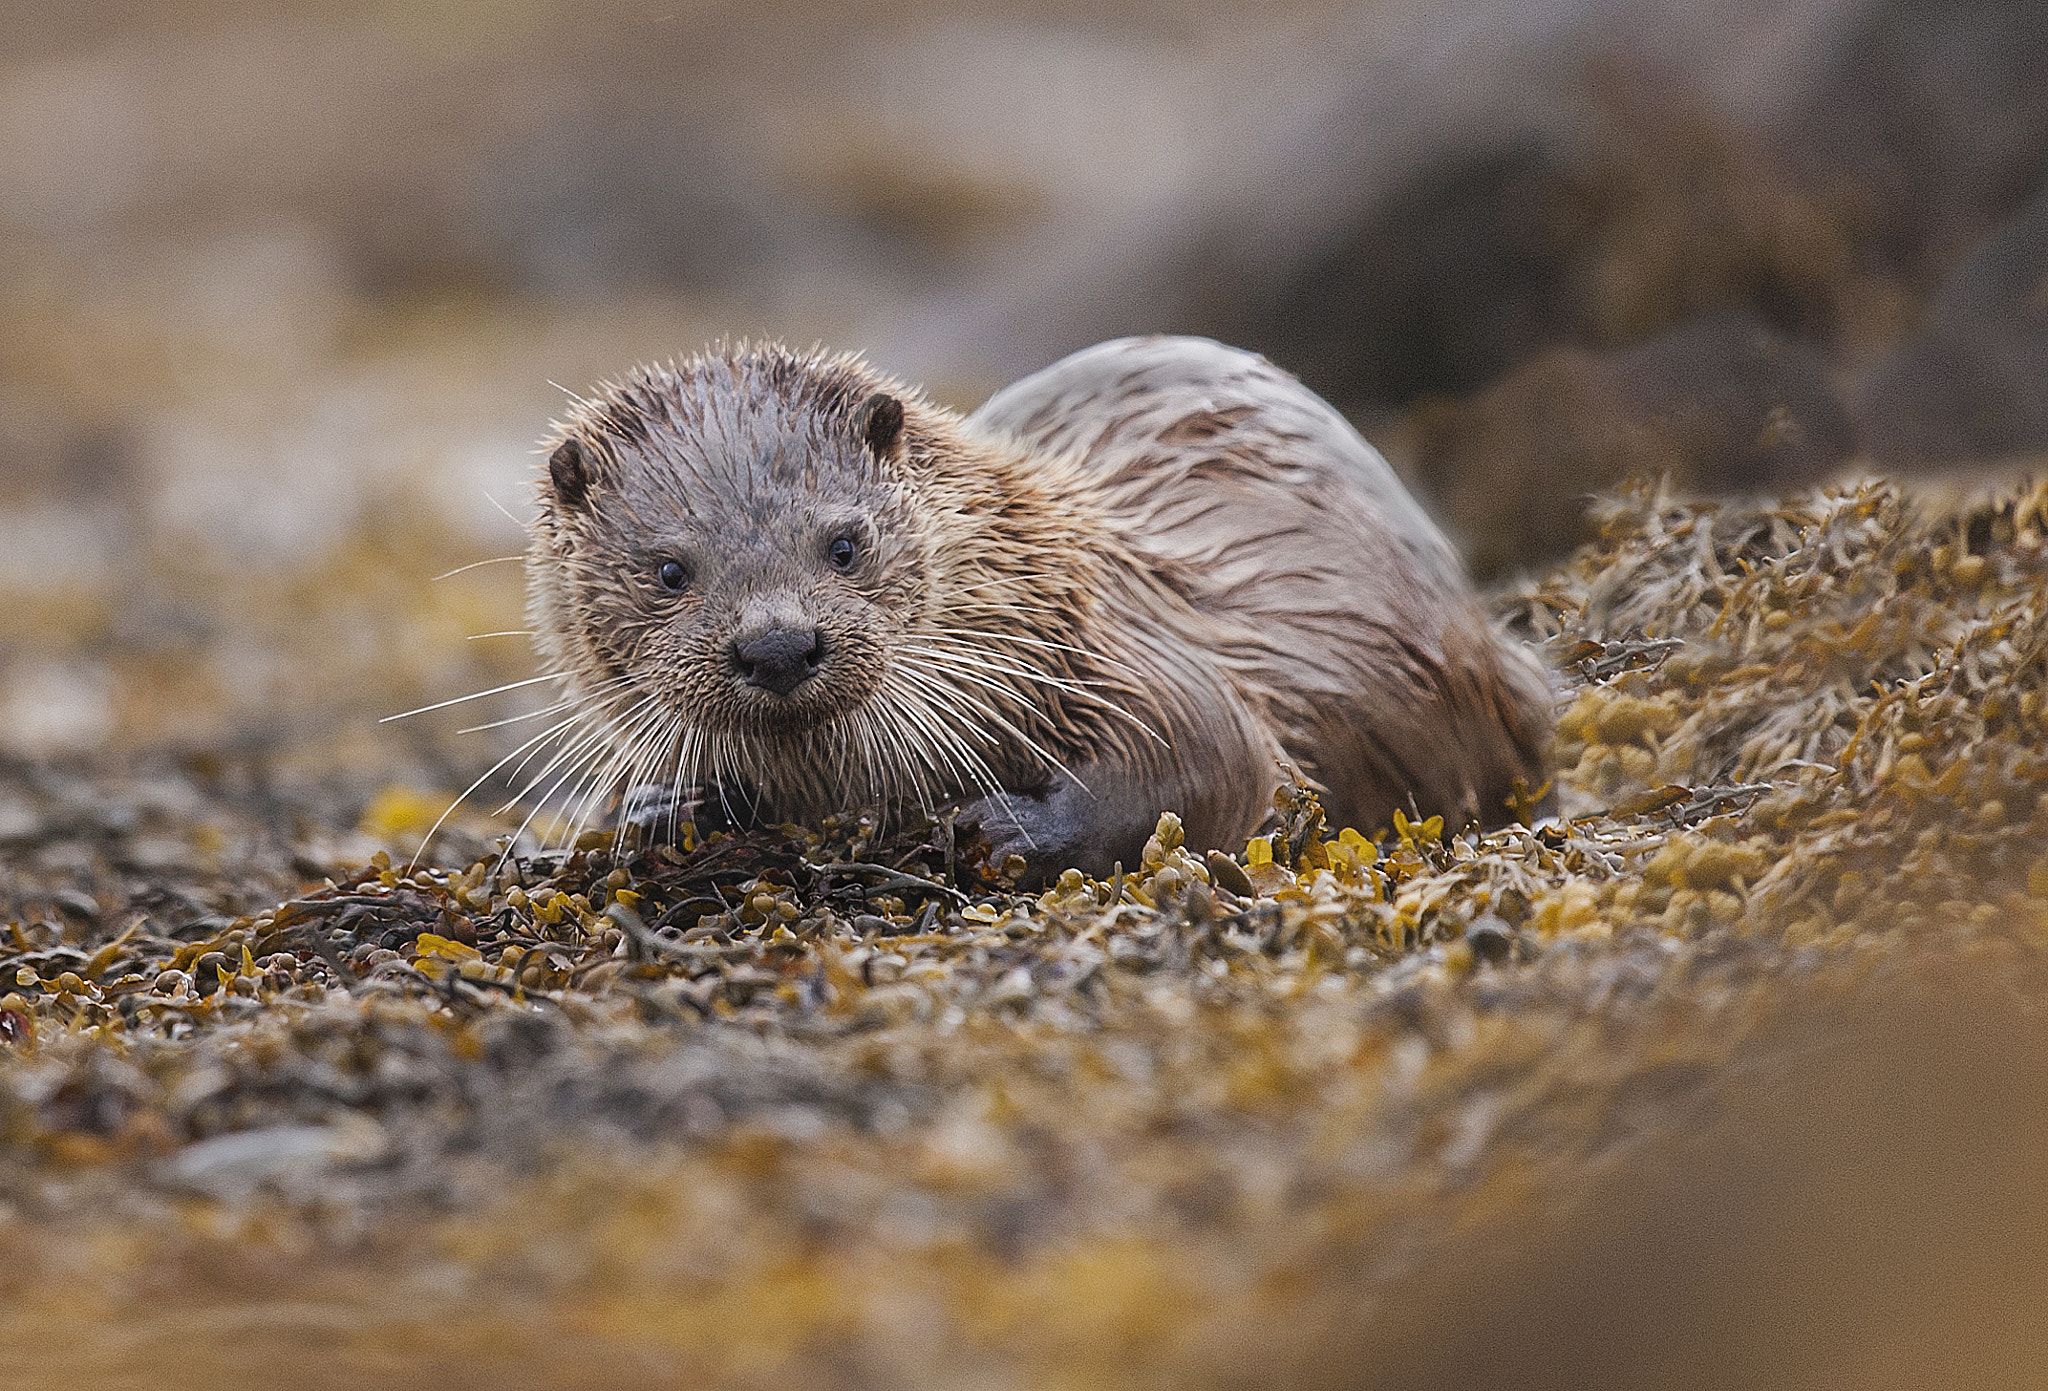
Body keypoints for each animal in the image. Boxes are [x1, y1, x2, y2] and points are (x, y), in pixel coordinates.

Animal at [524, 333, 1548, 880]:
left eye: (844, 545)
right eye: (669, 570)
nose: (777, 645)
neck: (1016, 591)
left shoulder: (1117, 638)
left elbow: (1216, 756)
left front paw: (1006, 828)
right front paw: (662, 805)